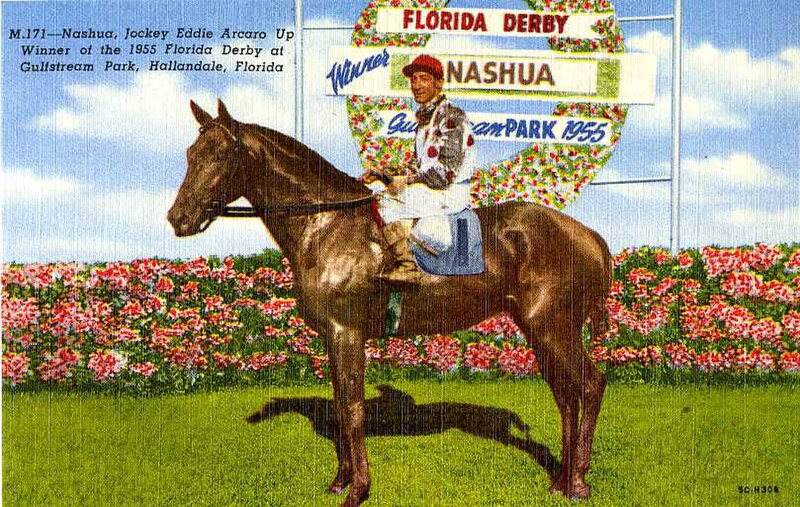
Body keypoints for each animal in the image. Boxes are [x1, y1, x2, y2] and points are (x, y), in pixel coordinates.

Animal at [166, 100, 608, 507]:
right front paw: (340, 481)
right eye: (191, 153)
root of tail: (587, 234)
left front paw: (357, 489)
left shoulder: (347, 333)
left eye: (220, 154)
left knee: (589, 385)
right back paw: (561, 480)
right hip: (541, 330)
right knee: (566, 395)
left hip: (552, 327)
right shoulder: (333, 337)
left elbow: (353, 409)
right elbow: (341, 406)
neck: (327, 226)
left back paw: (579, 482)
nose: (177, 218)